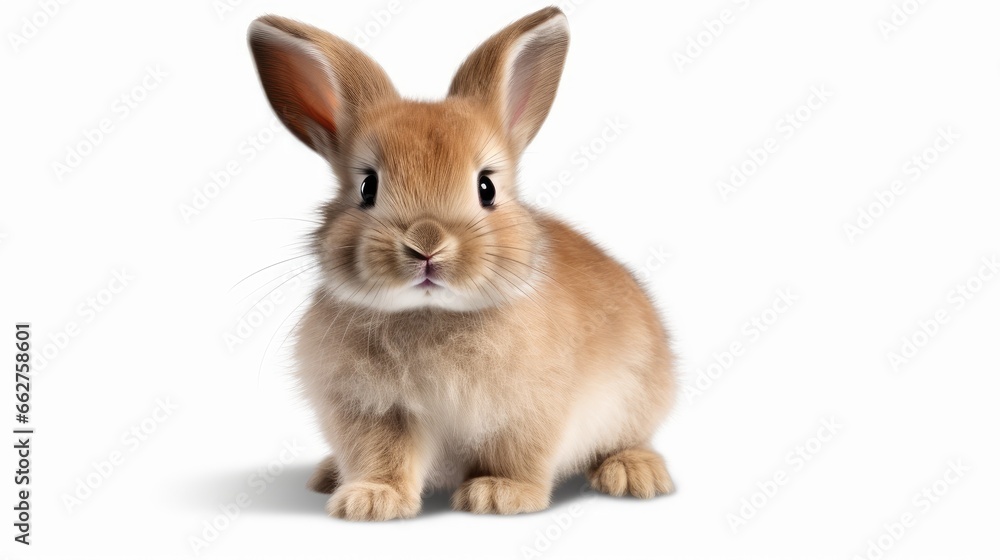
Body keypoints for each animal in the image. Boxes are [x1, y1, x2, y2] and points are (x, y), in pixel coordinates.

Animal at [247, 6, 677, 521]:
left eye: (486, 187)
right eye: (368, 187)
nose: (426, 244)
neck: (431, 312)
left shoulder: (529, 412)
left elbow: (518, 455)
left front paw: (499, 495)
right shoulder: (372, 411)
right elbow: (382, 456)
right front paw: (370, 501)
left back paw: (633, 473)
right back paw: (329, 476)